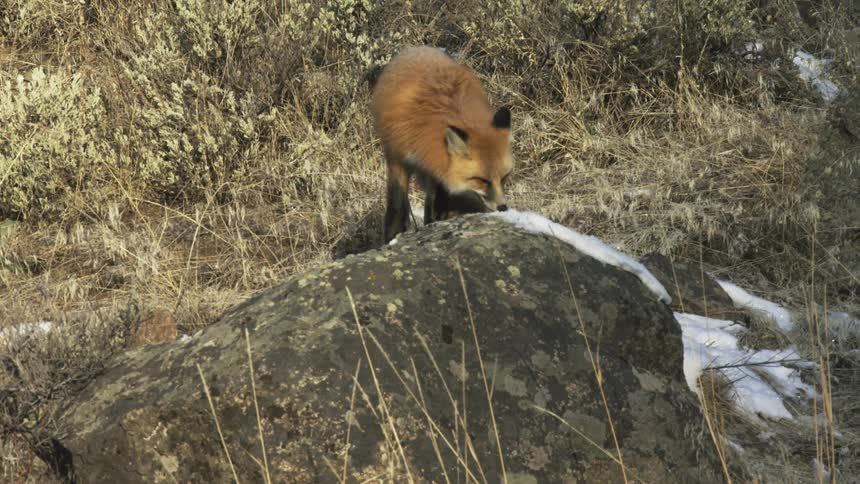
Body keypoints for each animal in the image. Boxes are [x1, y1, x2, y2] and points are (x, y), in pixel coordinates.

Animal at [371, 46, 514, 243]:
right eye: (481, 180)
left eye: (504, 177)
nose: (503, 208)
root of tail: (420, 48)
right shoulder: (397, 157)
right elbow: (397, 206)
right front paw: (392, 236)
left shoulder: (435, 166)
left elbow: (433, 203)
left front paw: (432, 224)